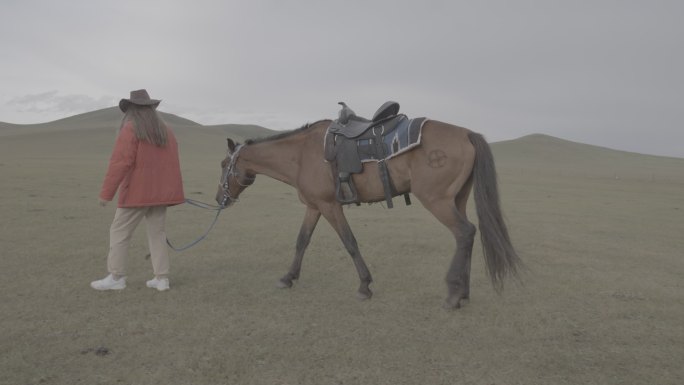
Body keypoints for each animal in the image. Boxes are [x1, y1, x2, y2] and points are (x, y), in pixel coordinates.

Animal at [216, 118, 520, 308]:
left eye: (222, 164)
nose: (220, 198)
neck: (301, 155)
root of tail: (467, 134)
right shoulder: (315, 206)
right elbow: (302, 241)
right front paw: (287, 278)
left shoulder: (330, 205)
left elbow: (350, 242)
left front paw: (364, 286)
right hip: (457, 199)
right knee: (467, 235)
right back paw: (463, 293)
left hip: (437, 200)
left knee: (465, 232)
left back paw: (453, 296)